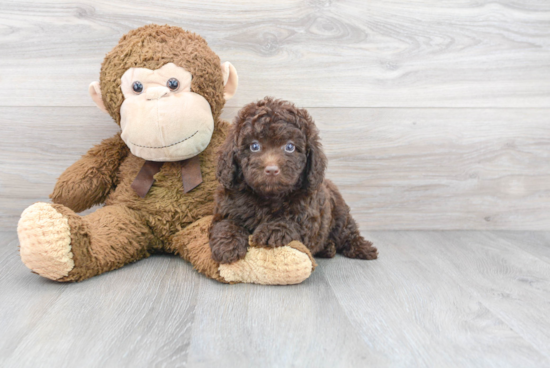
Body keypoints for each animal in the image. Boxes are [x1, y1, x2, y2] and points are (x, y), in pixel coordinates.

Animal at [209, 97, 378, 264]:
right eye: (254, 146)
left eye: (290, 147)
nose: (272, 170)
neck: (268, 197)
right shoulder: (226, 207)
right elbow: (224, 223)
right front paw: (228, 244)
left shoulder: (309, 216)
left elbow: (293, 222)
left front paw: (271, 230)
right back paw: (328, 248)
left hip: (340, 215)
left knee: (347, 232)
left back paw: (363, 248)